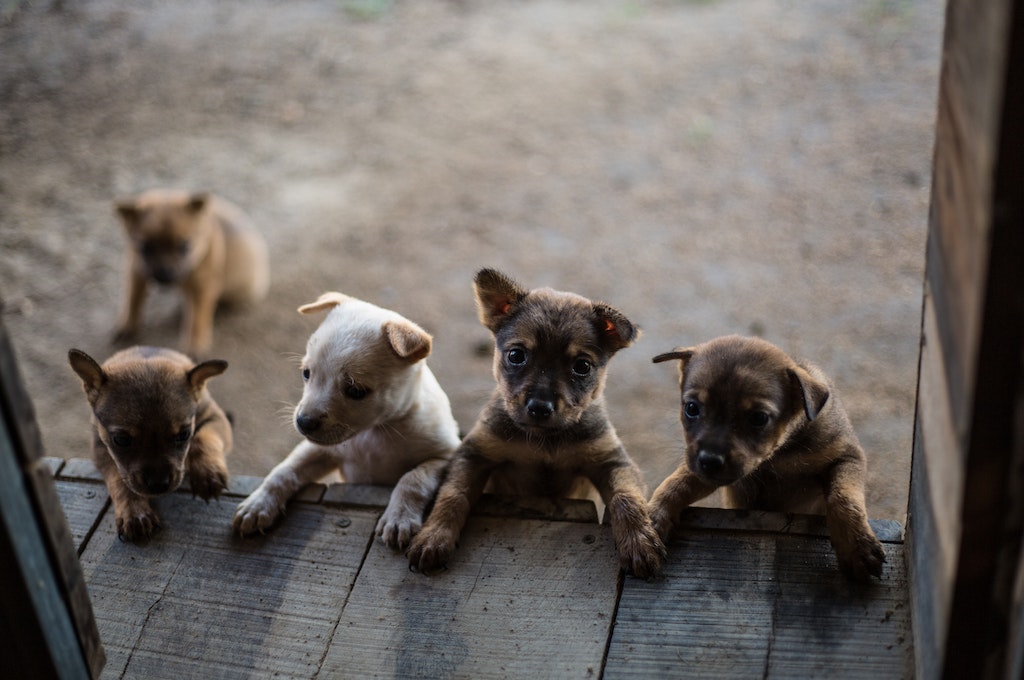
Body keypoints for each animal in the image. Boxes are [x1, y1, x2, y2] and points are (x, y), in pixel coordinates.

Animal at [69, 346, 233, 540]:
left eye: (184, 435)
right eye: (121, 440)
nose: (159, 484)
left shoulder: (216, 418)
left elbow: (203, 439)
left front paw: (208, 474)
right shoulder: (100, 447)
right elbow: (119, 480)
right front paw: (134, 512)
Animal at [113, 186, 270, 356]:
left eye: (184, 245)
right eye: (145, 247)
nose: (164, 276)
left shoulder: (203, 286)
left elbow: (197, 318)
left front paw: (195, 345)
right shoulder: (135, 271)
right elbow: (132, 298)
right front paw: (127, 325)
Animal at [234, 288, 462, 548]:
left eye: (355, 391)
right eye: (306, 373)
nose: (303, 423)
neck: (374, 432)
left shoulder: (446, 455)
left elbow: (413, 479)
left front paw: (399, 517)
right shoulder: (320, 450)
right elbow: (283, 471)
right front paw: (258, 504)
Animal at [403, 268, 667, 577]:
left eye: (582, 366)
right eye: (516, 355)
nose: (540, 408)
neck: (545, 440)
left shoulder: (612, 462)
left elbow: (625, 498)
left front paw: (639, 541)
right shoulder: (474, 455)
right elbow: (453, 495)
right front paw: (434, 537)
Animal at [651, 331, 884, 581]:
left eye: (759, 418)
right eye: (692, 408)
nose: (709, 462)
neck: (779, 455)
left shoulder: (847, 457)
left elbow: (843, 497)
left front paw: (857, 546)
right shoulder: (704, 468)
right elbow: (676, 483)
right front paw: (650, 523)